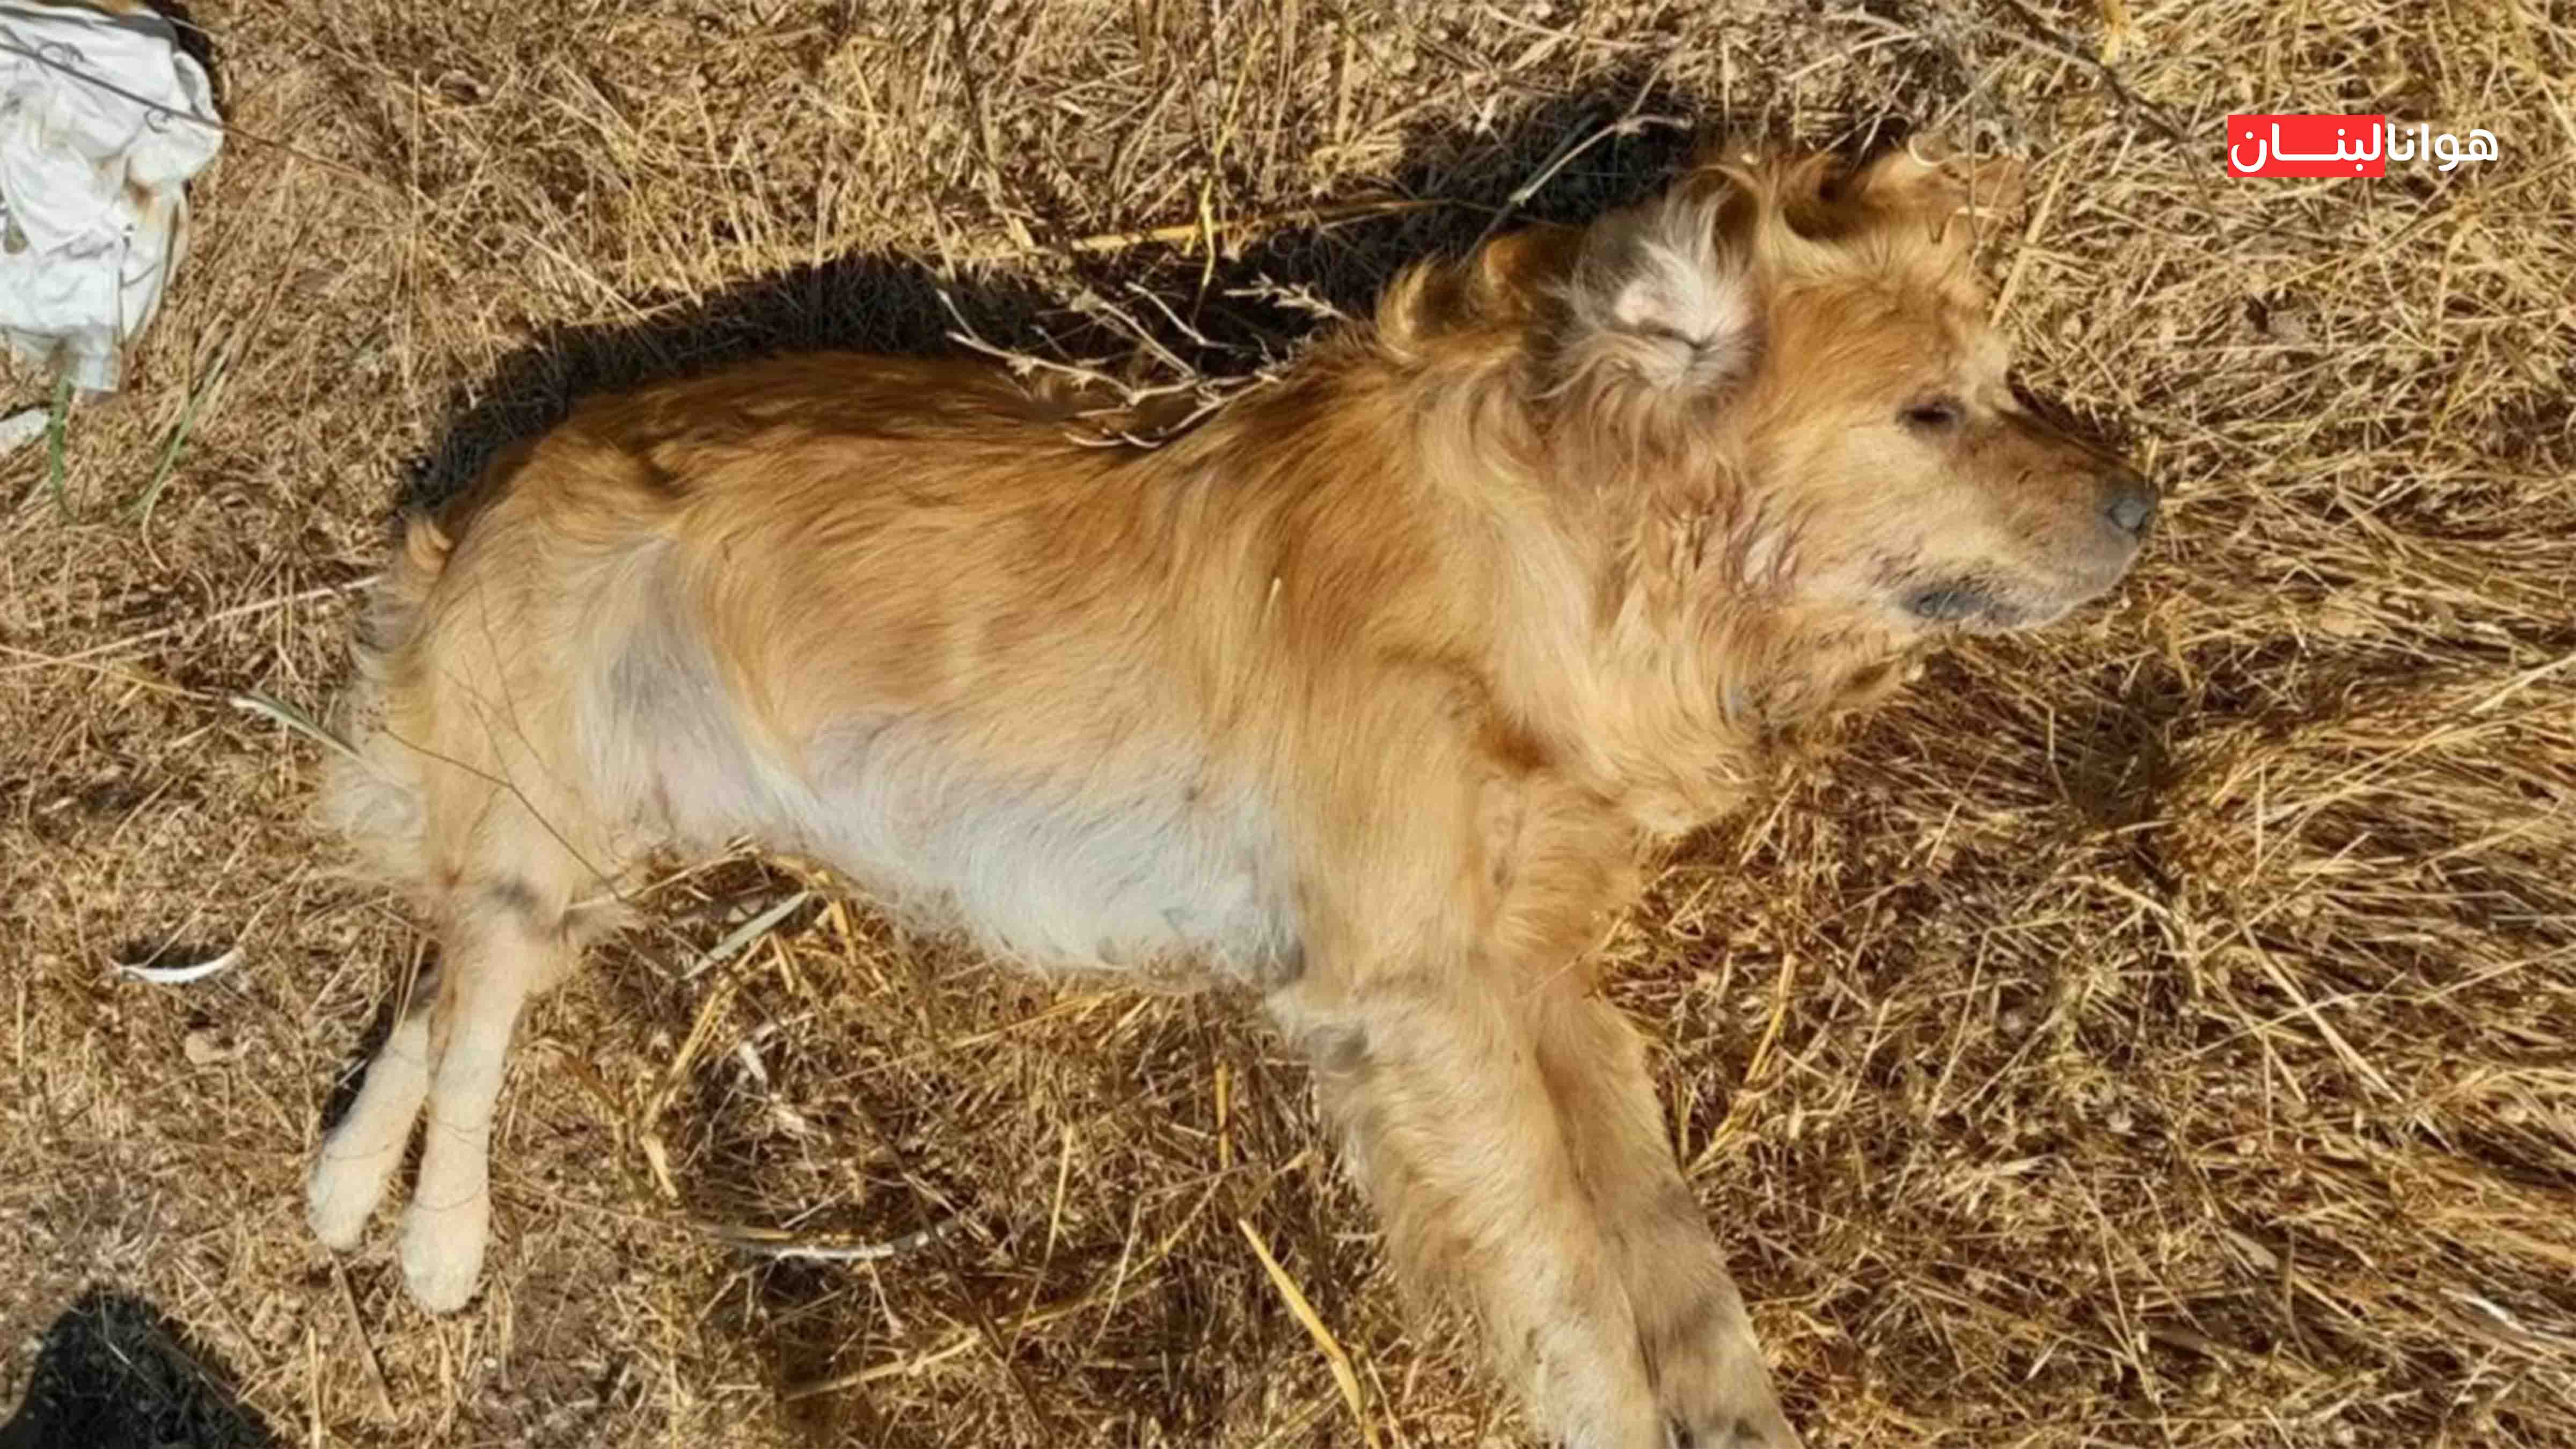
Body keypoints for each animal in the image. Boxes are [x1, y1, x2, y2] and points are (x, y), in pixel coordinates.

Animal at [302, 141, 2153, 1448]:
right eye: (1930, 411)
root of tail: (489, 492)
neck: (1576, 549)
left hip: (598, 836)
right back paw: (437, 1238)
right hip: (560, 795)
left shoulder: (1542, 980)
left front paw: (1731, 1403)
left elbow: (1672, 1262)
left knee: (446, 970)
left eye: (1998, 379)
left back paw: (344, 1179)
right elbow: (1570, 1288)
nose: (2143, 505)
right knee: (477, 1001)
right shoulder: (1419, 995)